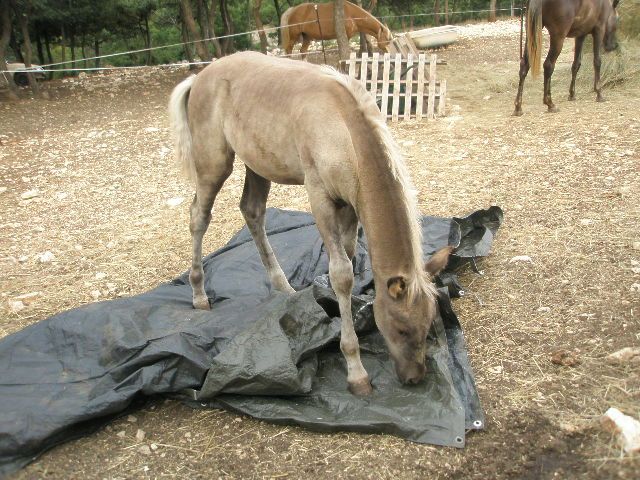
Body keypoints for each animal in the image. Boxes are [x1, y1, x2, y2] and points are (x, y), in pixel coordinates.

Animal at [168, 51, 452, 396]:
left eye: (429, 324)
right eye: (401, 329)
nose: (414, 377)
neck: (342, 126)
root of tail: (201, 76)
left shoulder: (350, 204)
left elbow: (348, 257)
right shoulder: (320, 198)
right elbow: (341, 272)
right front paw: (355, 370)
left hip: (257, 164)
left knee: (252, 211)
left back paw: (284, 287)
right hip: (214, 163)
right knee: (199, 216)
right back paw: (199, 293)